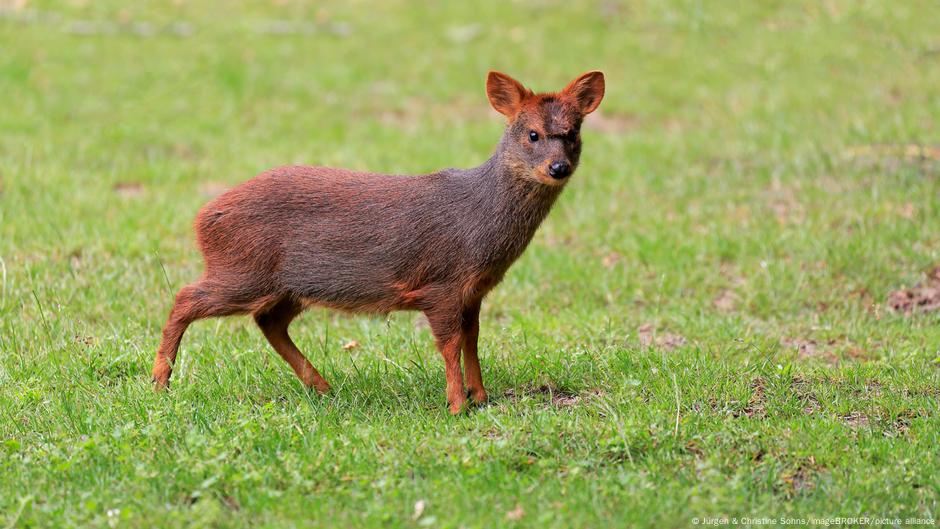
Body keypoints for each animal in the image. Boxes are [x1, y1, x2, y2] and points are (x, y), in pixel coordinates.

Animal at [151, 70, 605, 413]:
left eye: (573, 132)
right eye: (532, 134)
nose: (559, 167)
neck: (479, 221)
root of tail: (202, 218)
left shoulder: (473, 291)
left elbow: (473, 339)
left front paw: (480, 396)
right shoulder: (441, 283)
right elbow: (449, 343)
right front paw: (457, 405)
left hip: (287, 285)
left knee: (268, 322)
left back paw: (322, 386)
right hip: (243, 269)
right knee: (185, 297)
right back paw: (160, 381)